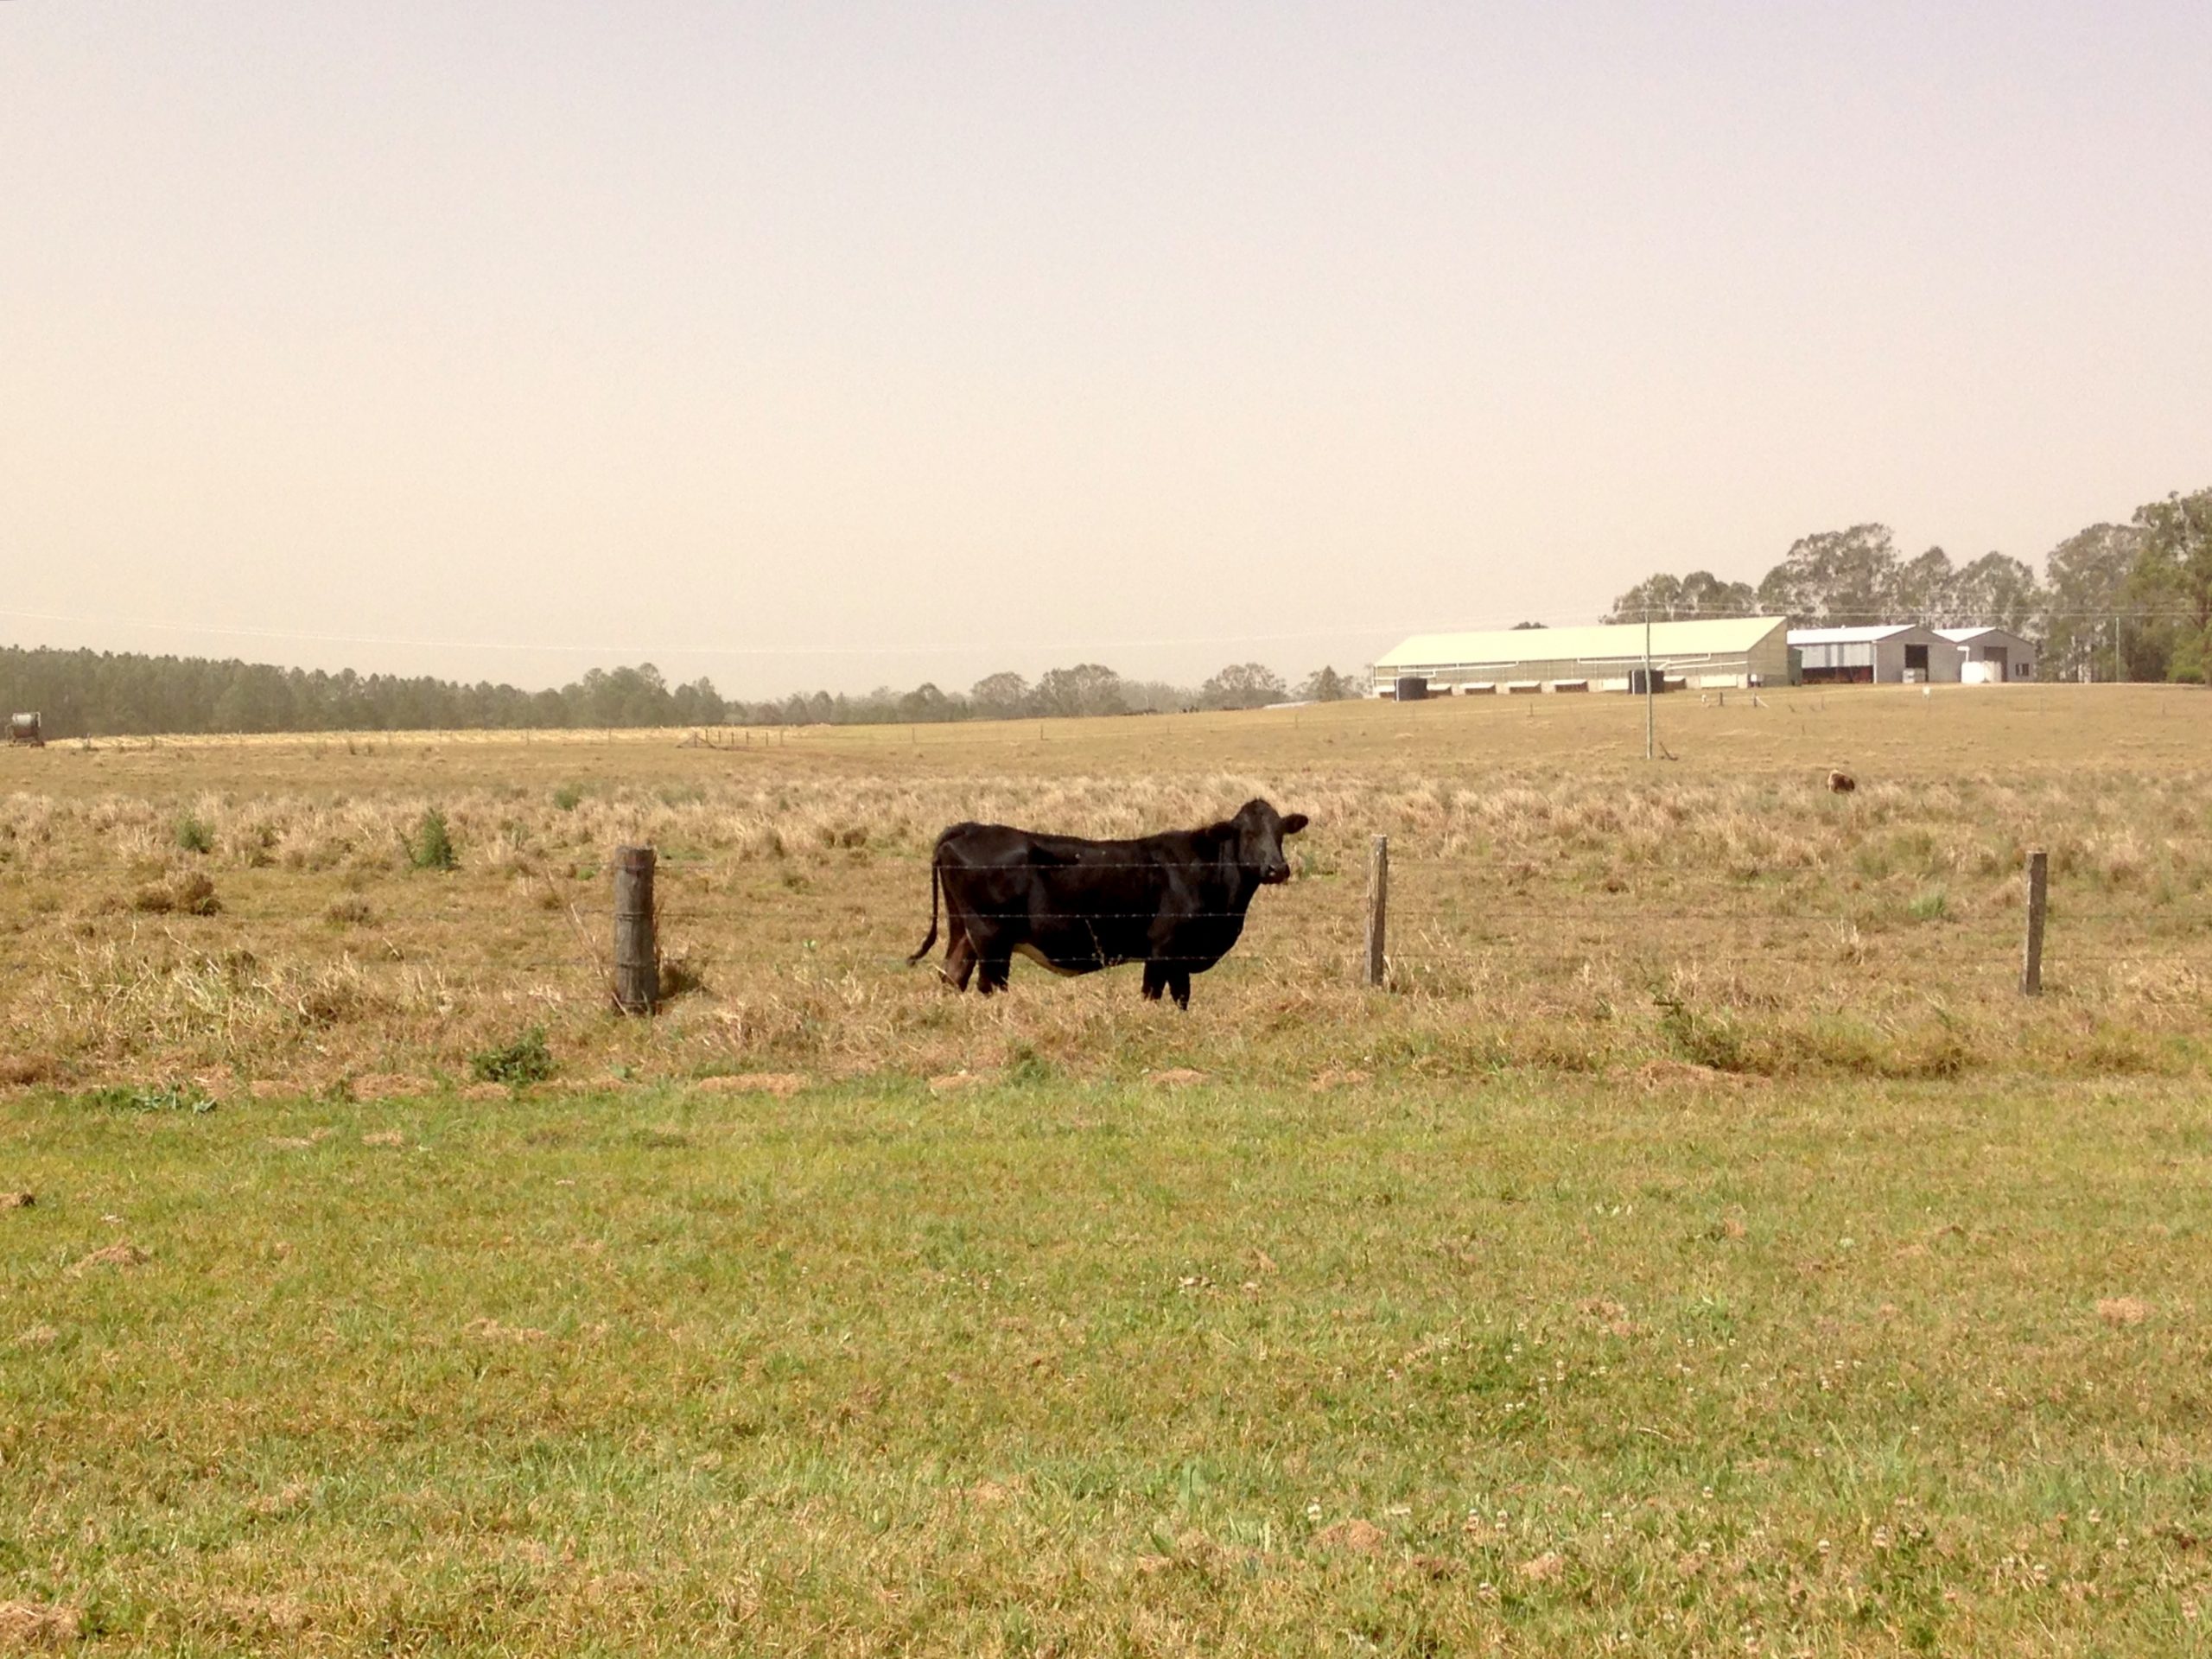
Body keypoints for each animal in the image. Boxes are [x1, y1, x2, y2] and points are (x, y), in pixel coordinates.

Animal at [907, 798, 1310, 1009]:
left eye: (1279, 833)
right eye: (1248, 833)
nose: (1277, 868)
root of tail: (972, 827)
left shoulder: (1178, 958)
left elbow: (1180, 998)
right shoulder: (1163, 949)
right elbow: (1152, 995)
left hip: (964, 933)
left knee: (952, 975)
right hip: (991, 940)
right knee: (988, 985)